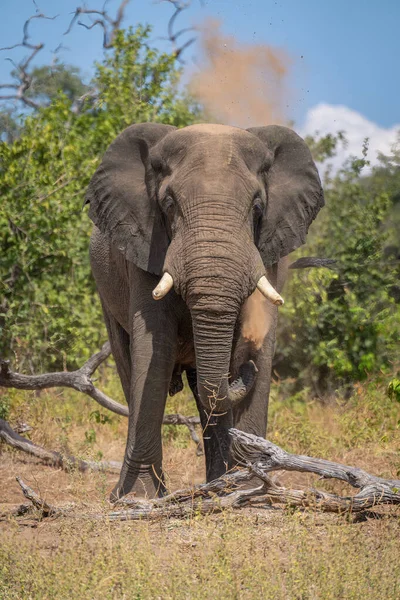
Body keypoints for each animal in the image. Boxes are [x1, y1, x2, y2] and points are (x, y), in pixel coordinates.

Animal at [86, 122, 324, 502]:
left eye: (258, 207)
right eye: (169, 205)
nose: (244, 371)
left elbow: (260, 341)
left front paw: (250, 489)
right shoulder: (146, 247)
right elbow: (154, 348)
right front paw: (139, 498)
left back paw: (219, 486)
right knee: (130, 364)